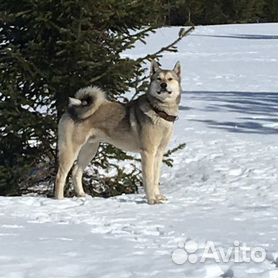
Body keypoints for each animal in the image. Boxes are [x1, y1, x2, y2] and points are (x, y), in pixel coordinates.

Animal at [54, 60, 181, 204]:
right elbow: (149, 178)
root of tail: (72, 109)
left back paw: (82, 195)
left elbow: (156, 178)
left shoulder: (159, 153)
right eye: (158, 78)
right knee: (60, 176)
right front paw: (151, 200)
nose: (163, 85)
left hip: (89, 149)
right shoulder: (148, 153)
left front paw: (158, 197)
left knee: (76, 172)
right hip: (71, 149)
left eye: (170, 79)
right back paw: (59, 200)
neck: (158, 111)